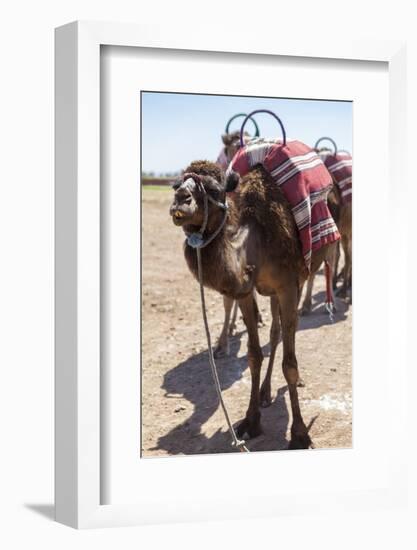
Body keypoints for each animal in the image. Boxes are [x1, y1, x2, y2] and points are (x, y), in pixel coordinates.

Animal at [170, 158, 338, 448]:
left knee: (286, 331)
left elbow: (289, 364)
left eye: (214, 190)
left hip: (302, 276)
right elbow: (254, 355)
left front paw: (300, 434)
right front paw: (250, 421)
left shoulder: (287, 286)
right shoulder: (247, 293)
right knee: (275, 331)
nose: (181, 200)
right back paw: (265, 392)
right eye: (178, 184)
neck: (257, 240)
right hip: (271, 292)